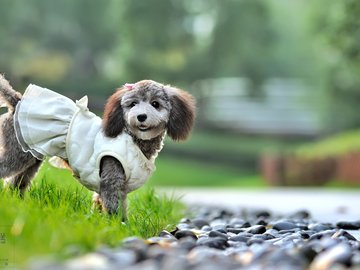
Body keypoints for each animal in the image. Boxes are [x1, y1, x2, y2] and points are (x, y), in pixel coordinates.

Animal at [0, 75, 195, 218]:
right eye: (132, 104)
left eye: (155, 104)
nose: (141, 116)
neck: (131, 138)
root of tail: (17, 100)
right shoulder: (111, 178)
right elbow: (114, 208)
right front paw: (119, 226)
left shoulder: (115, 185)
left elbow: (103, 203)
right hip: (17, 154)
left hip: (31, 157)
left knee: (17, 183)